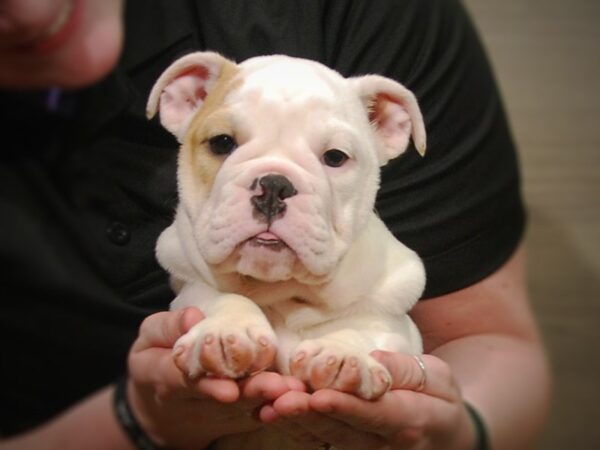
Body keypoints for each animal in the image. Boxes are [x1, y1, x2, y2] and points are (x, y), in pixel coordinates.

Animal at [145, 51, 426, 414]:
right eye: (221, 143)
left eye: (335, 157)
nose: (274, 186)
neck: (281, 290)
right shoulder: (189, 290)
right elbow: (219, 296)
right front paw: (226, 330)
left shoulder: (394, 324)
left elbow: (367, 329)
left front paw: (343, 353)